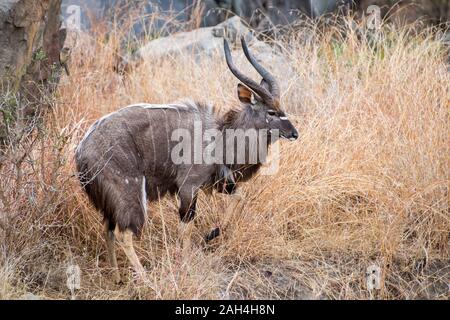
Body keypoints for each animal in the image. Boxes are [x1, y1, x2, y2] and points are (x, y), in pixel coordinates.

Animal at [75, 37, 298, 282]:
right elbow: (186, 226)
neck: (220, 137)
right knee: (123, 233)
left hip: (109, 201)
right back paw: (146, 279)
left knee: (108, 229)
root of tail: (81, 150)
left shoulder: (216, 182)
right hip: (129, 192)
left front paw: (211, 234)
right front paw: (186, 261)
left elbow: (240, 196)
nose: (294, 133)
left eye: (282, 108)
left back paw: (116, 277)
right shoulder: (188, 186)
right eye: (271, 112)